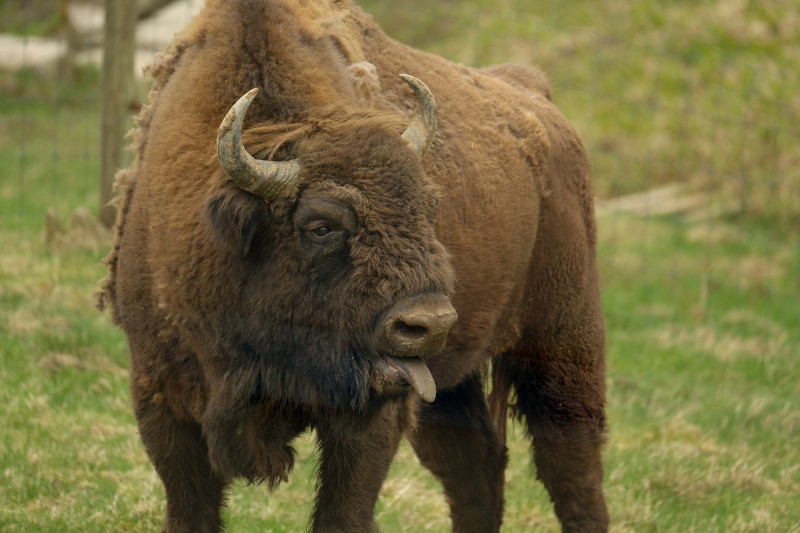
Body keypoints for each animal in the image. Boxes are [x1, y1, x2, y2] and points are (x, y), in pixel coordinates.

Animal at [100, 0, 608, 528]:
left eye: (430, 207)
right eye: (322, 226)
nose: (429, 324)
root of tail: (537, 97)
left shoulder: (369, 420)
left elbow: (341, 513)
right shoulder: (161, 399)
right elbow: (190, 511)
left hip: (562, 346)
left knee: (572, 470)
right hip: (453, 382)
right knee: (475, 467)